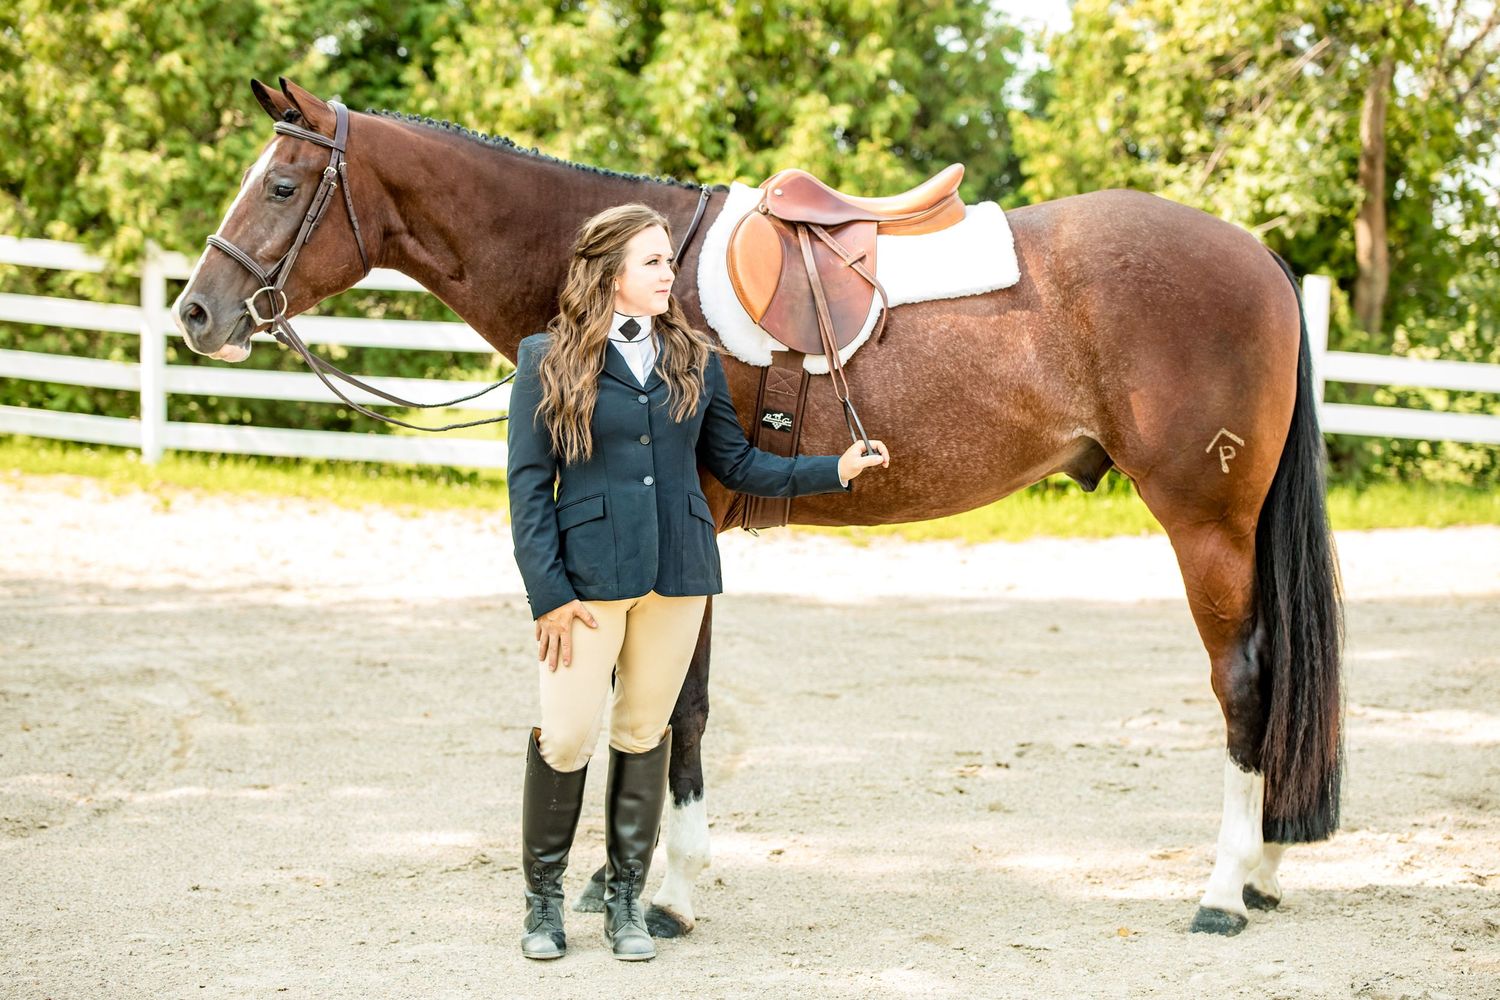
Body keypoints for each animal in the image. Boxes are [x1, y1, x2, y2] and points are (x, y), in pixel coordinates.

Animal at [172, 77, 1343, 940]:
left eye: (282, 185)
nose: (196, 313)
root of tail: (1259, 254)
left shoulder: (685, 530)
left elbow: (679, 708)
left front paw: (667, 893)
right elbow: (648, 701)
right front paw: (614, 879)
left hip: (1206, 526)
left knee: (1244, 681)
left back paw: (1223, 891)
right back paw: (1266, 870)